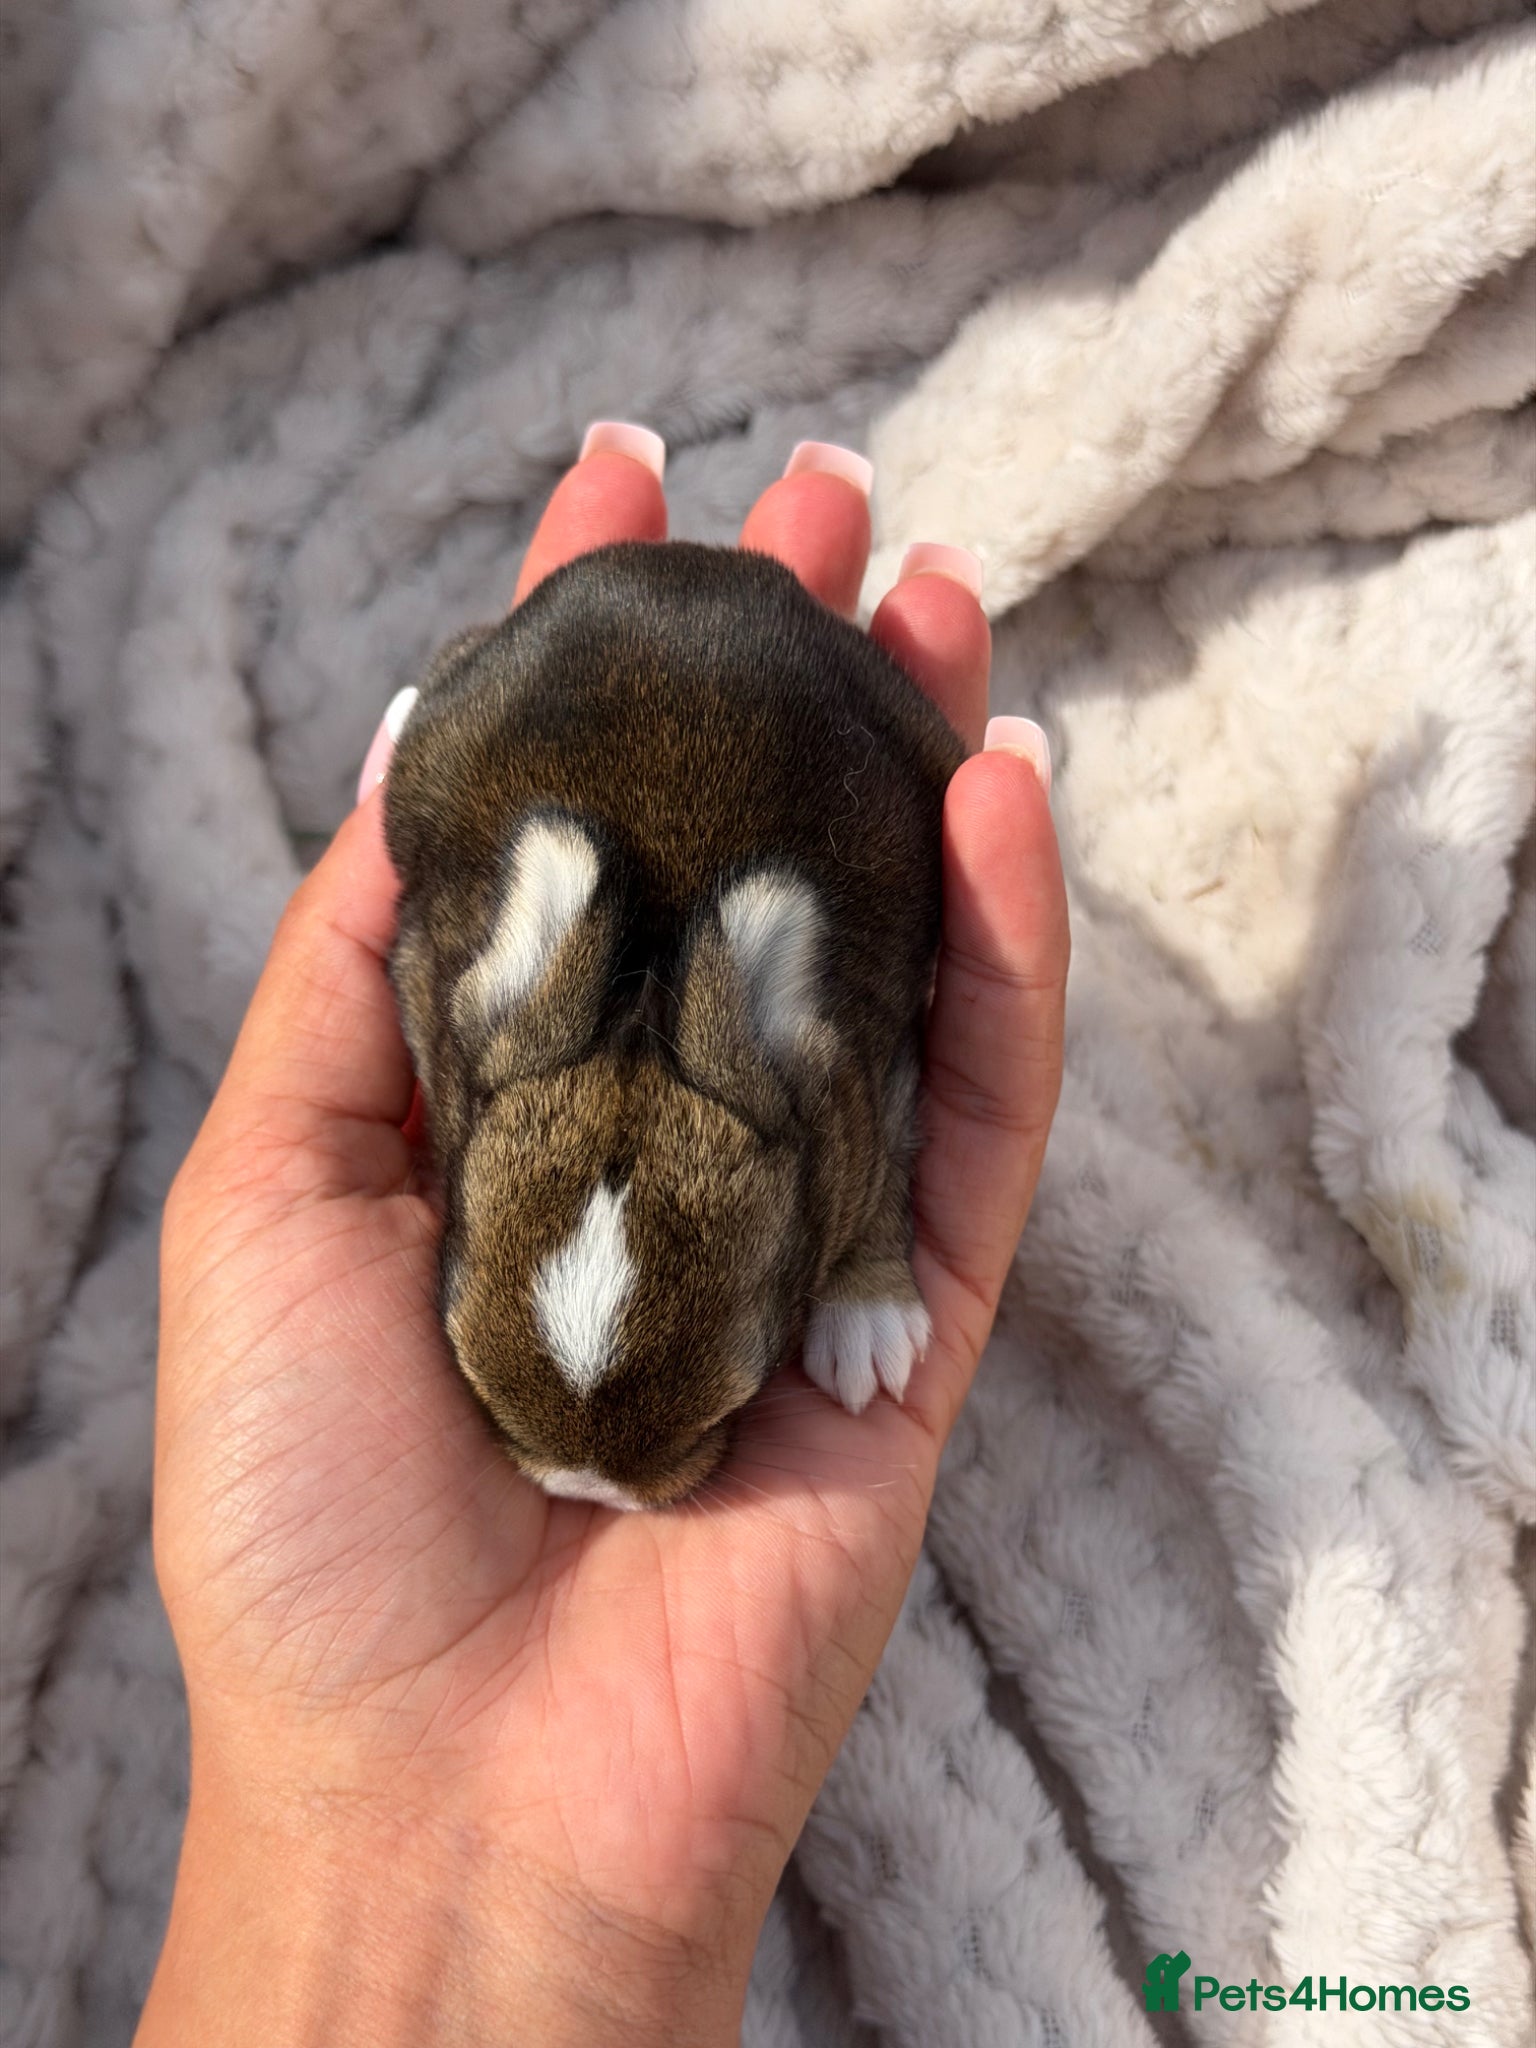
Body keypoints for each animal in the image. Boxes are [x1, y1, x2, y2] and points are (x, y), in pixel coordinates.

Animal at [383, 540, 965, 1509]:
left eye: (737, 1398)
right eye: (473, 1381)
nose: (589, 1489)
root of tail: (691, 564)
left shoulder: (879, 1081)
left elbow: (891, 1179)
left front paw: (869, 1327)